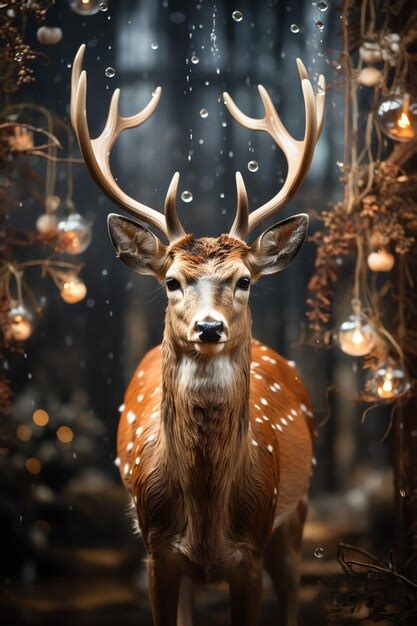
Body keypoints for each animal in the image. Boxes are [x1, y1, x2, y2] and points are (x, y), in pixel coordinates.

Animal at [70, 44, 324, 624]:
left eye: (245, 280)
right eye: (171, 281)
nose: (210, 326)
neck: (207, 520)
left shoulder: (252, 549)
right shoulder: (157, 552)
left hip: (297, 513)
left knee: (294, 592)